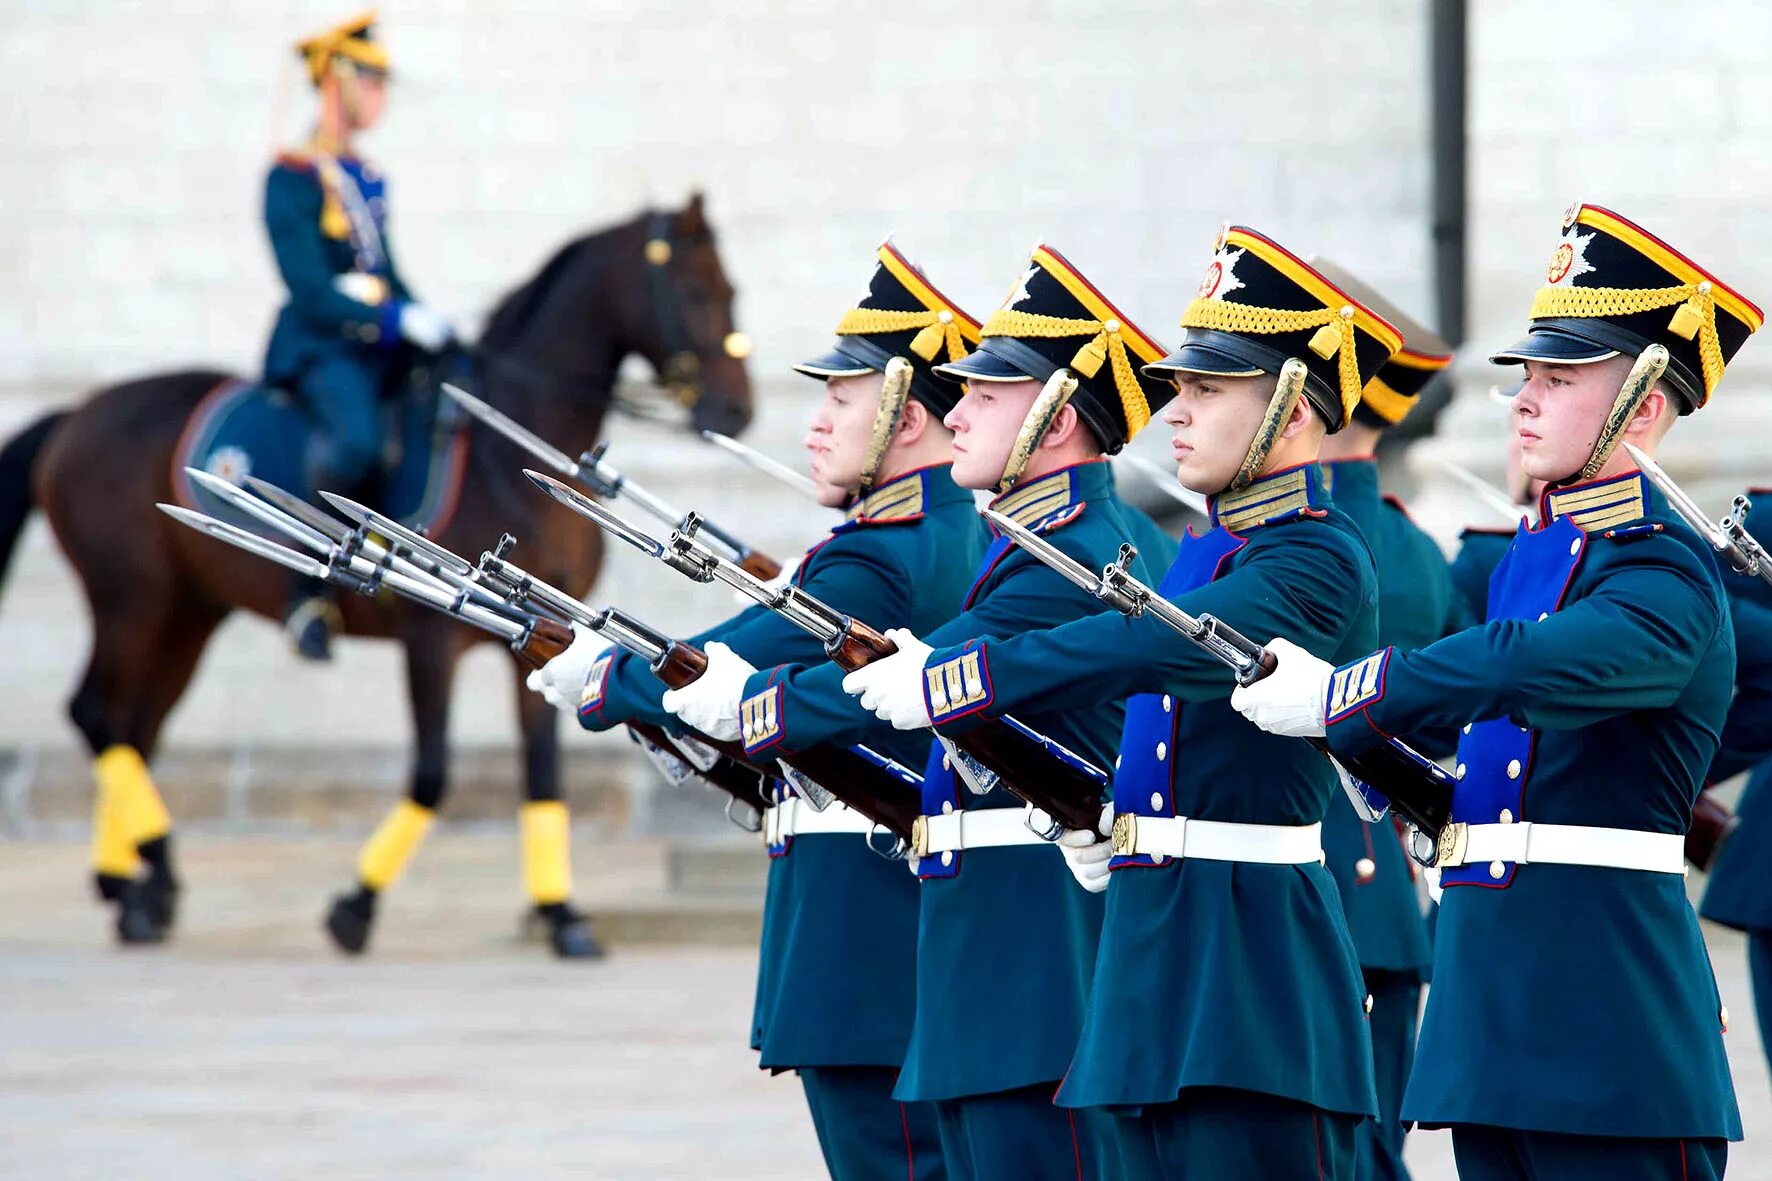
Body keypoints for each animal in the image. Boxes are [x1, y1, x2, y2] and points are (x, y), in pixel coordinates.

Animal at [0, 193, 754, 957]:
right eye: (696, 290)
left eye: (732, 289)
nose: (736, 409)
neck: (500, 456)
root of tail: (78, 410)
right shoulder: (431, 641)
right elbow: (434, 771)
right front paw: (357, 906)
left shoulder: (535, 649)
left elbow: (543, 772)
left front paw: (562, 914)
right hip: (133, 601)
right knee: (99, 714)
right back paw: (140, 880)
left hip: (188, 614)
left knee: (136, 726)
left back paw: (138, 887)